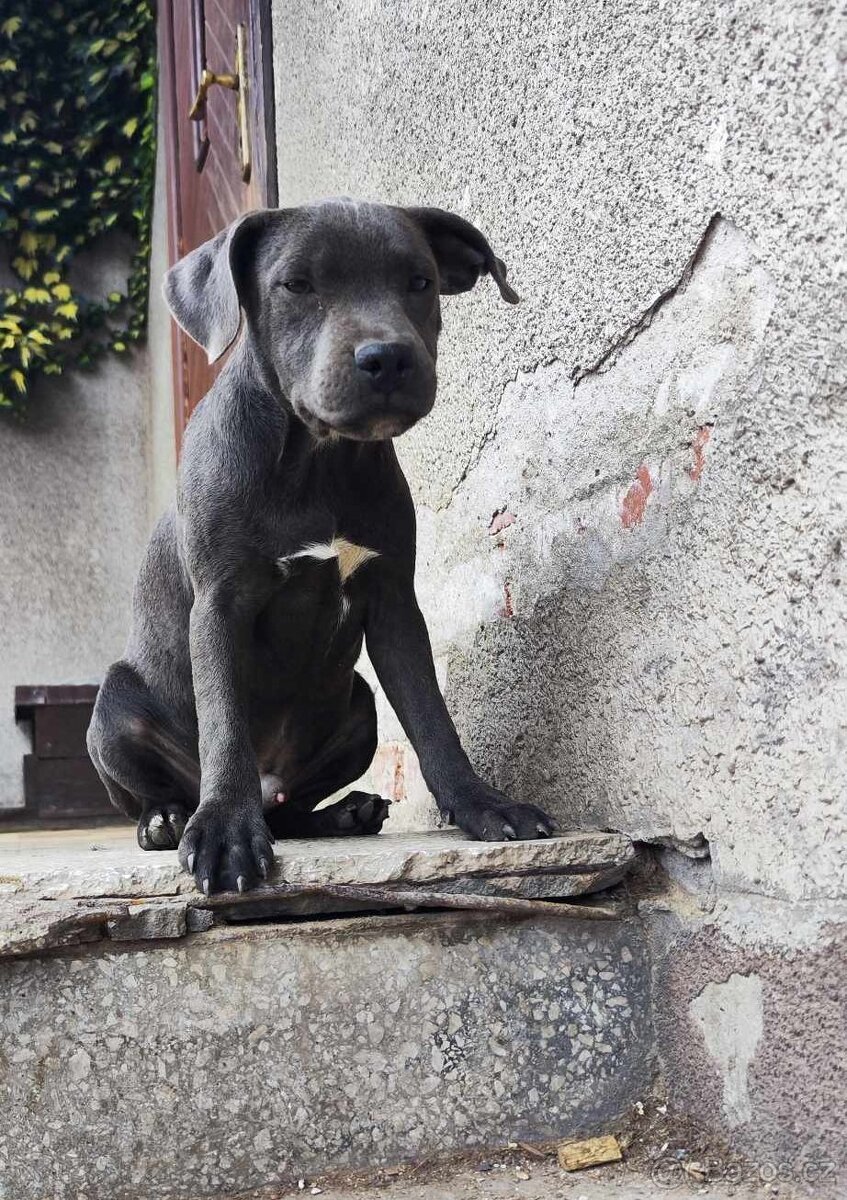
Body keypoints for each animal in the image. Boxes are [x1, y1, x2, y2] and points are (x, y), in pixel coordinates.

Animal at [88, 201, 554, 892]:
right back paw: (168, 819)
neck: (316, 456)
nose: (387, 358)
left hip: (357, 704)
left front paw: (482, 805)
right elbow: (225, 723)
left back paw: (344, 813)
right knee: (168, 786)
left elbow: (432, 718)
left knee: (291, 810)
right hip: (114, 704)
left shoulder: (393, 603)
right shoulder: (220, 603)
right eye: (296, 285)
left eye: (419, 282)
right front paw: (224, 831)